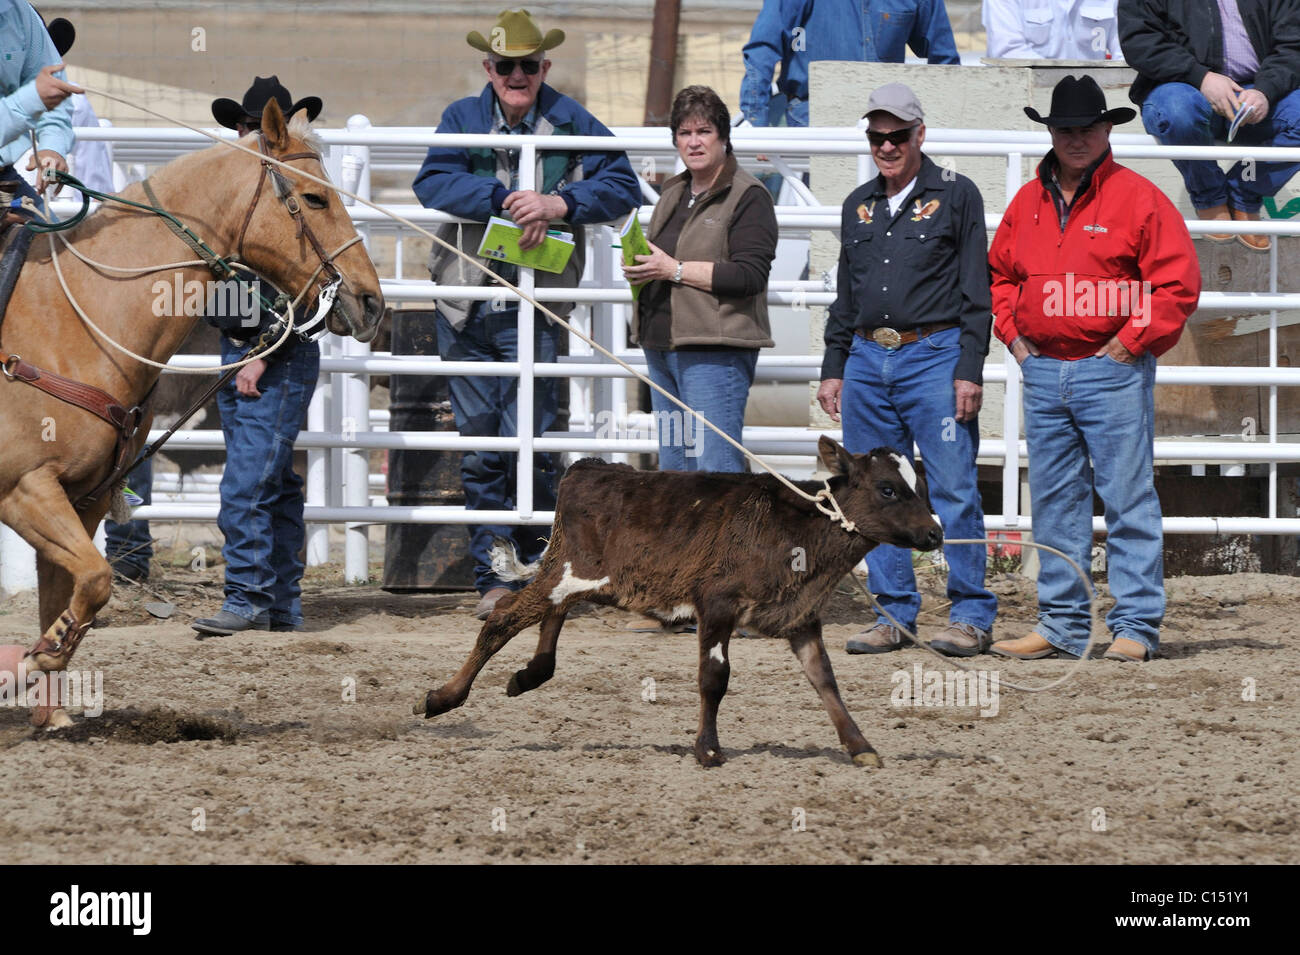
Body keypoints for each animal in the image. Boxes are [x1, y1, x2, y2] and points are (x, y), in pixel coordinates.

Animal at [0, 98, 384, 727]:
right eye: (314, 198)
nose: (372, 301)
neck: (73, 321)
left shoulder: (82, 498)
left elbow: (74, 588)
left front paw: (49, 701)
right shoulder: (25, 488)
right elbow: (98, 578)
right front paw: (32, 663)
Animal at [414, 436, 942, 768]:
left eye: (922, 487)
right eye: (888, 488)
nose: (936, 534)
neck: (801, 526)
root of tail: (589, 468)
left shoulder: (801, 618)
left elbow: (826, 682)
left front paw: (860, 746)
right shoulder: (718, 606)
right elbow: (714, 679)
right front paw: (707, 750)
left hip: (575, 577)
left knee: (553, 614)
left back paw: (529, 674)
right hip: (566, 573)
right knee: (503, 620)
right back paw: (443, 698)